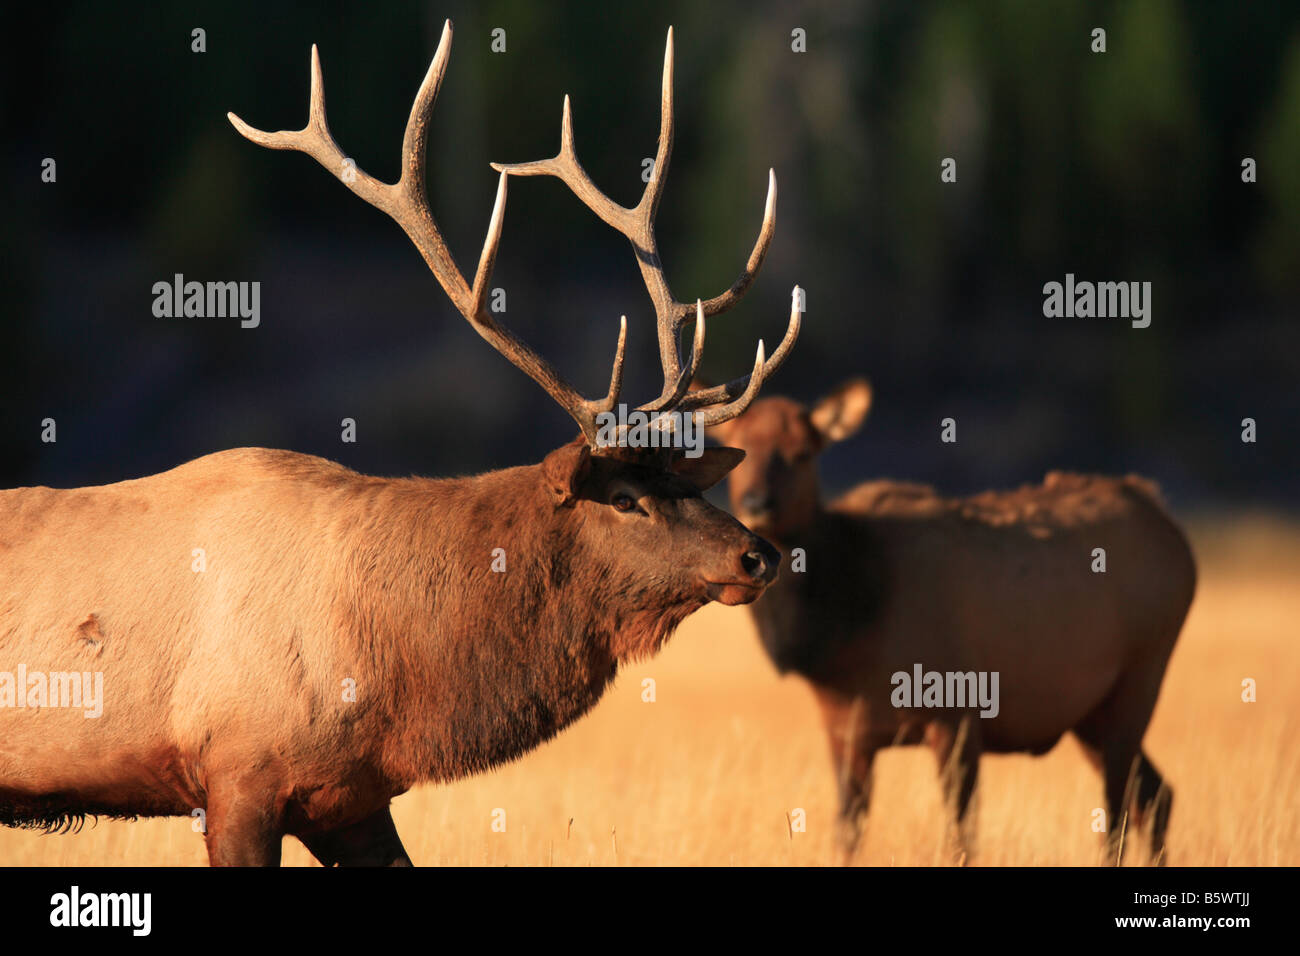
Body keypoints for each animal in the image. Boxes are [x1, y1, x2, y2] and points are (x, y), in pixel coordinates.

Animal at [0, 20, 800, 868]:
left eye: (689, 483)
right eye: (624, 498)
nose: (759, 554)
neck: (395, 674)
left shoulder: (349, 800)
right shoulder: (238, 772)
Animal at [712, 379, 1196, 868]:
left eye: (802, 452)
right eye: (741, 449)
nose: (757, 505)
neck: (847, 629)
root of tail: (1171, 528)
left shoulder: (956, 714)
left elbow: (960, 839)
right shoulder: (843, 730)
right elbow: (848, 836)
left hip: (1139, 679)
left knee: (1118, 812)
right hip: (1089, 713)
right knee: (1157, 795)